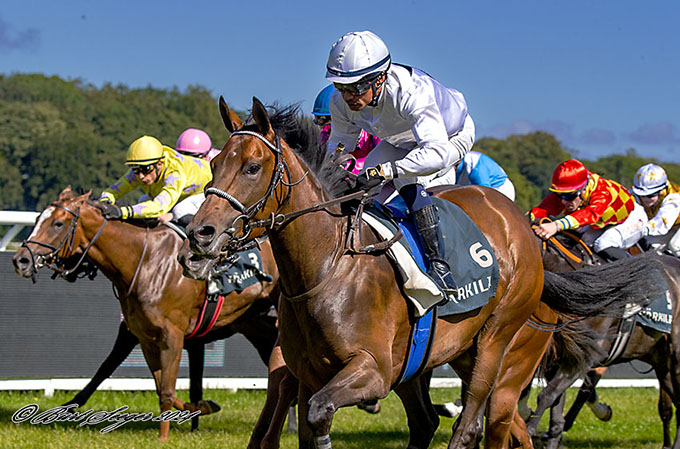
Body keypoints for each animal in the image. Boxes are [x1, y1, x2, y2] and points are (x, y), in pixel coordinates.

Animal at [13, 187, 278, 440]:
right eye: (37, 218)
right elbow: (155, 384)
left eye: (58, 223)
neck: (147, 261)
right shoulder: (144, 335)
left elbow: (167, 388)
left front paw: (163, 437)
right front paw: (200, 407)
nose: (21, 260)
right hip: (258, 326)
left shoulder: (172, 334)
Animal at [524, 231, 680, 448]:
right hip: (661, 361)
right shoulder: (558, 360)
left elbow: (548, 395)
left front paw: (530, 428)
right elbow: (556, 415)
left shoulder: (585, 358)